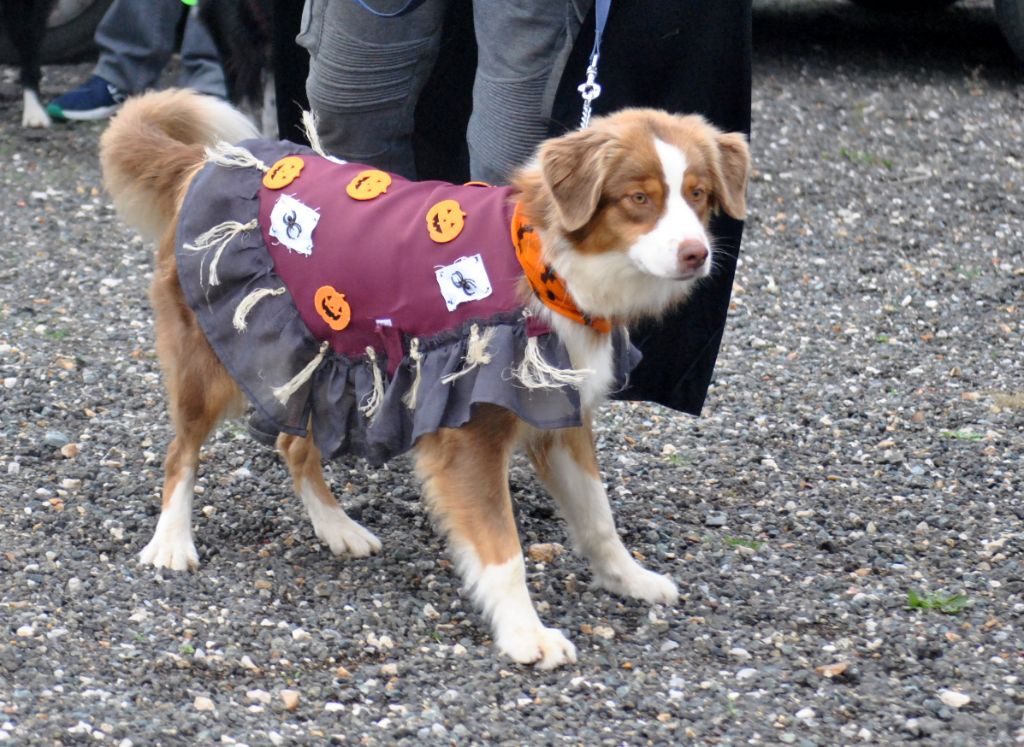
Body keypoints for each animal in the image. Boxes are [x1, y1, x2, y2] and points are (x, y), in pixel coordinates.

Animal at [100, 89, 750, 669]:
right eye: (638, 197)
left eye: (698, 195)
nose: (696, 254)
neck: (546, 262)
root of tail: (210, 160)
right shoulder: (471, 433)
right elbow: (503, 550)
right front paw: (526, 635)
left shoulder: (560, 414)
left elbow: (598, 517)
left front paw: (629, 579)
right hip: (211, 363)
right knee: (181, 453)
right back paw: (172, 542)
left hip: (317, 357)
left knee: (292, 443)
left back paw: (337, 529)